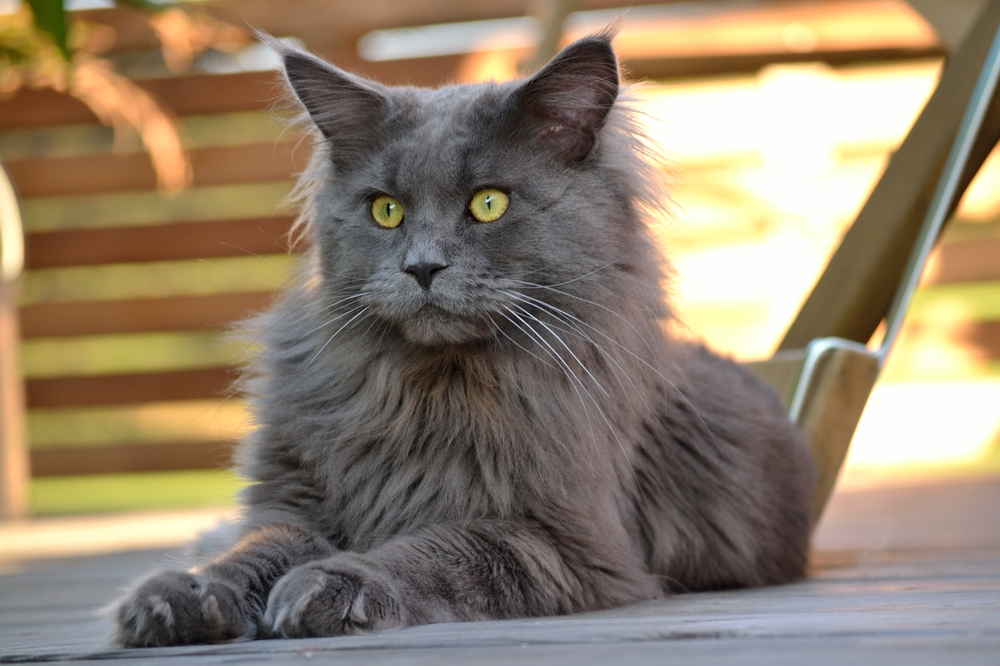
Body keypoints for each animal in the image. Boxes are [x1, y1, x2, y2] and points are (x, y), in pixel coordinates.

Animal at [113, 33, 816, 644]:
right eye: (386, 210)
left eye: (488, 204)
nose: (422, 267)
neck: (427, 394)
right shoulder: (291, 501)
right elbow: (253, 551)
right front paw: (178, 598)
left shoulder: (564, 541)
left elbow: (433, 553)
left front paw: (334, 583)